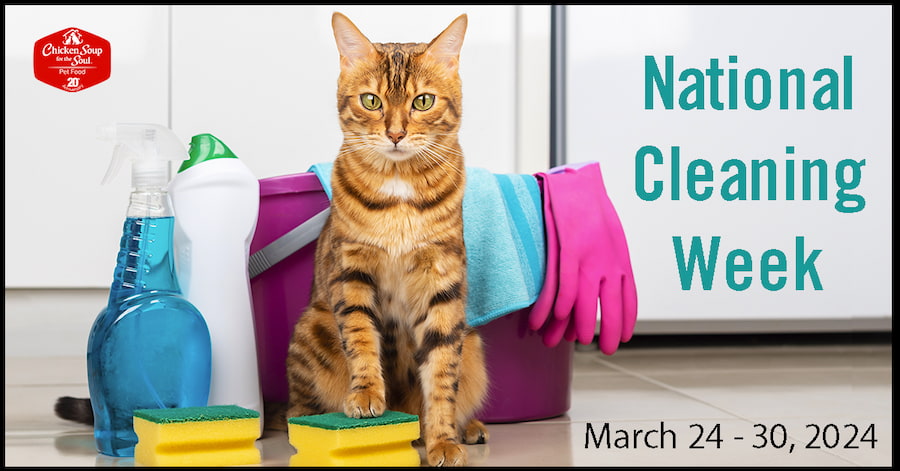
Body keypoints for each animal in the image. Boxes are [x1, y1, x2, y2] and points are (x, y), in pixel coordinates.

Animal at [284, 12, 488, 466]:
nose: (395, 134)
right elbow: (360, 335)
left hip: (473, 345)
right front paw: (366, 395)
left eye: (423, 101)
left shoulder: (442, 284)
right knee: (295, 409)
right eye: (372, 101)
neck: (399, 190)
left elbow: (441, 374)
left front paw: (443, 440)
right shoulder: (351, 271)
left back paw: (467, 428)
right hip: (313, 327)